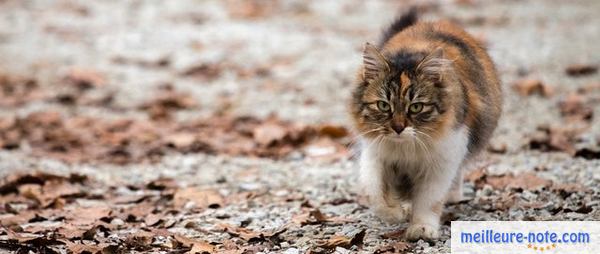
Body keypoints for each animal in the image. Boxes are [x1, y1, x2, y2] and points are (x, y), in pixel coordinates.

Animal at [350, 8, 504, 240]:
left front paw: (422, 227)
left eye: (416, 107)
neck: (406, 149)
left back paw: (452, 194)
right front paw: (394, 212)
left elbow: (428, 200)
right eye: (383, 105)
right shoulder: (375, 155)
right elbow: (375, 193)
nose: (398, 128)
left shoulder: (444, 159)